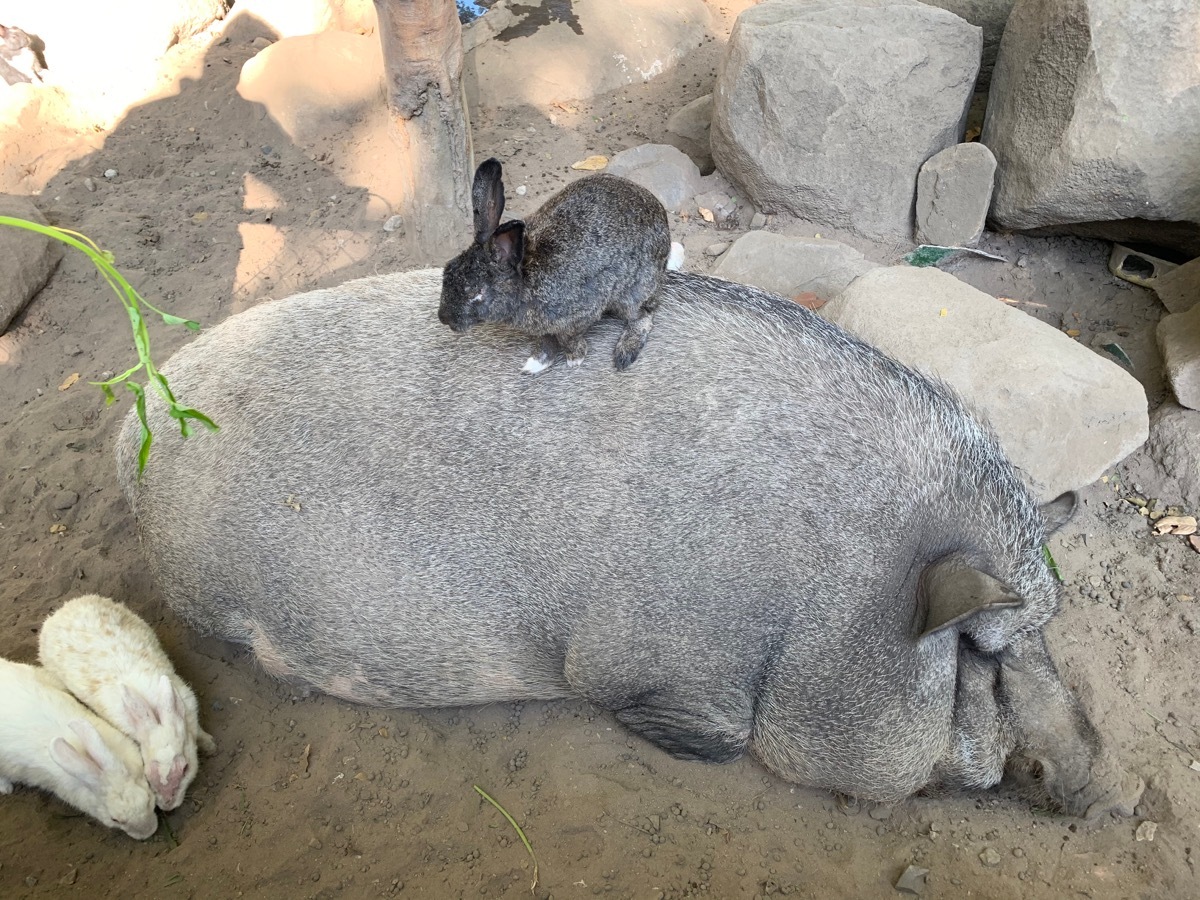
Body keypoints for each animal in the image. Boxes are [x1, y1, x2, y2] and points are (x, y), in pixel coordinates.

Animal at [115, 267, 1141, 817]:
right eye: (983, 653)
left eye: (1048, 631)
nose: (1106, 781)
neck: (830, 594)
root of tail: (136, 423)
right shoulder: (643, 663)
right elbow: (711, 736)